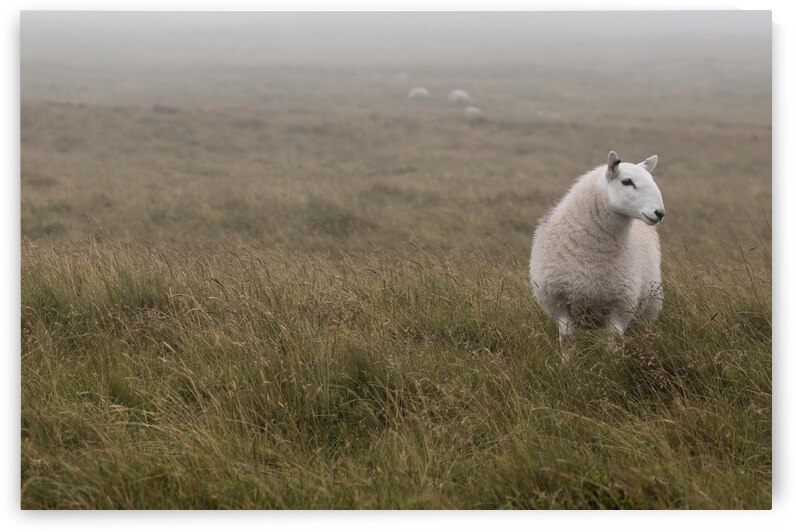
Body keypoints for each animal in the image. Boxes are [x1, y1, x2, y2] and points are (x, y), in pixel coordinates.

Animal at [528, 151, 665, 360]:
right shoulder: (558, 300)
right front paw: (566, 365)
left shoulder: (621, 304)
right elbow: (567, 340)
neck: (593, 258)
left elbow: (612, 341)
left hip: (650, 305)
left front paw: (611, 364)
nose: (659, 213)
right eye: (627, 181)